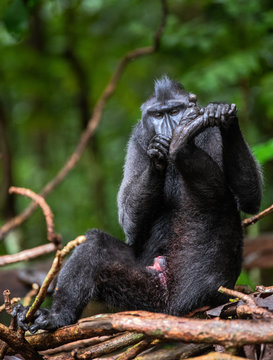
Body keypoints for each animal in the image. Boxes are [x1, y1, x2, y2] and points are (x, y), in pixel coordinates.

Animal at [13, 75, 262, 332]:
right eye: (158, 115)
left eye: (174, 111)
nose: (168, 127)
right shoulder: (136, 140)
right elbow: (128, 221)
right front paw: (157, 156)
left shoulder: (211, 134)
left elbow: (250, 199)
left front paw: (224, 115)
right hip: (147, 293)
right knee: (95, 243)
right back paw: (57, 316)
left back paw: (182, 145)